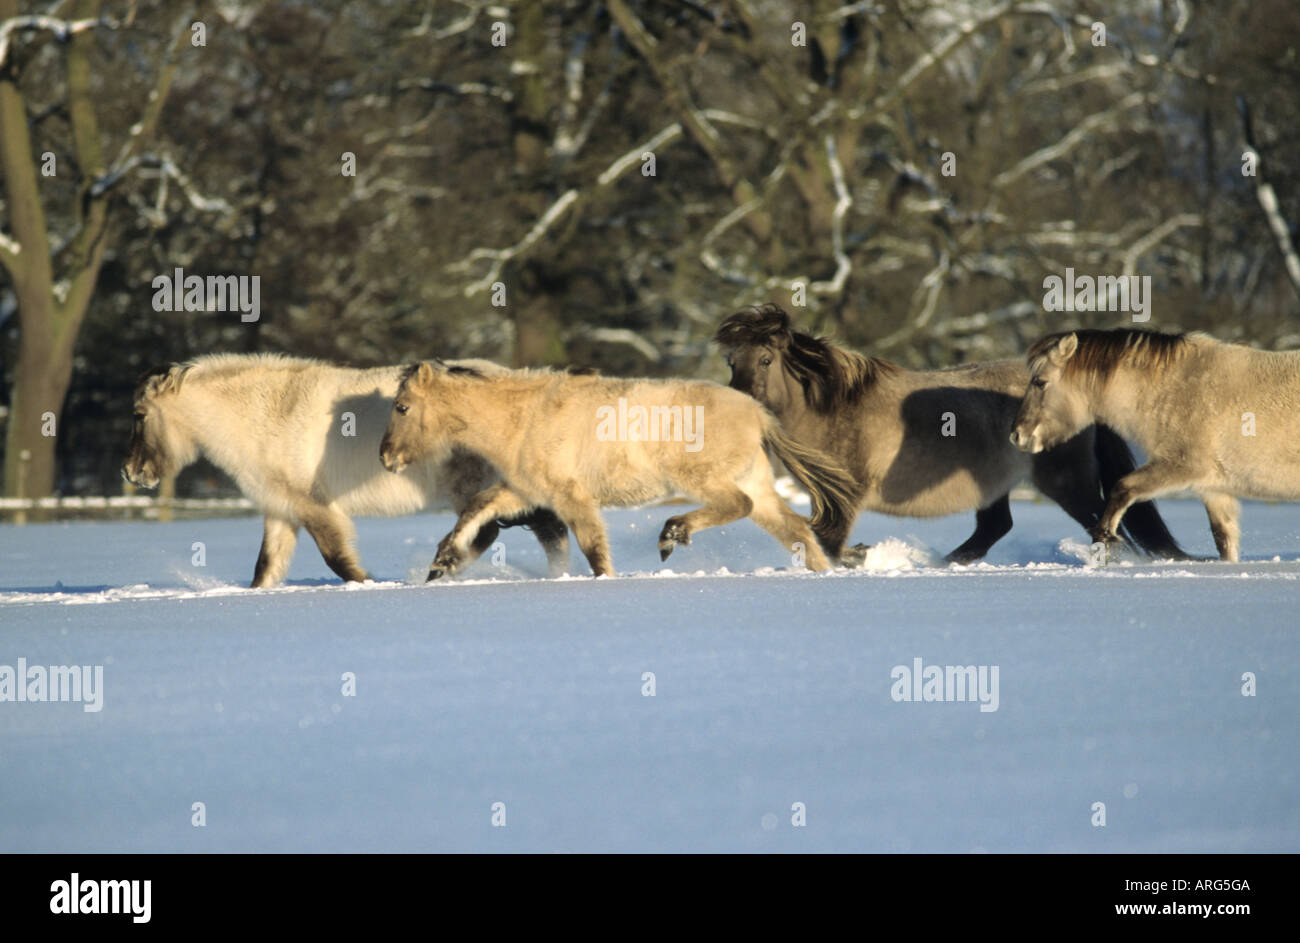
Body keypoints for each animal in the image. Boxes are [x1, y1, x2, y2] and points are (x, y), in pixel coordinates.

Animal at [122, 353, 569, 587]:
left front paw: (366, 582)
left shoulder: (314, 506)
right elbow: (265, 569)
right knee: (544, 529)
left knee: (504, 530)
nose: (130, 472)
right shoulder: (282, 509)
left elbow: (337, 558)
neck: (269, 413)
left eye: (139, 415)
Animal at [379, 361, 863, 577]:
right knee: (795, 530)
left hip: (704, 480)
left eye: (402, 407)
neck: (526, 417)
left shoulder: (570, 497)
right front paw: (442, 561)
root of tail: (757, 413)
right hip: (758, 487)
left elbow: (594, 547)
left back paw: (672, 533)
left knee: (736, 505)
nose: (385, 457)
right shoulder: (525, 491)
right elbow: (477, 507)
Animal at [717, 305, 1185, 561]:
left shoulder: (846, 494)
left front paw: (857, 556)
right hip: (995, 486)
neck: (835, 405)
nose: (737, 407)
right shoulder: (824, 495)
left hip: (1067, 483)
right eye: (730, 361)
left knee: (1104, 526)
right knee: (993, 530)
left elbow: (826, 542)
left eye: (765, 360)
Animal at [1008, 327, 1300, 559]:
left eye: (1040, 382)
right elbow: (1225, 541)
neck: (1177, 389)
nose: (1017, 435)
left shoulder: (1180, 467)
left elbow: (1122, 489)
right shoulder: (1214, 489)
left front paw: (1106, 541)